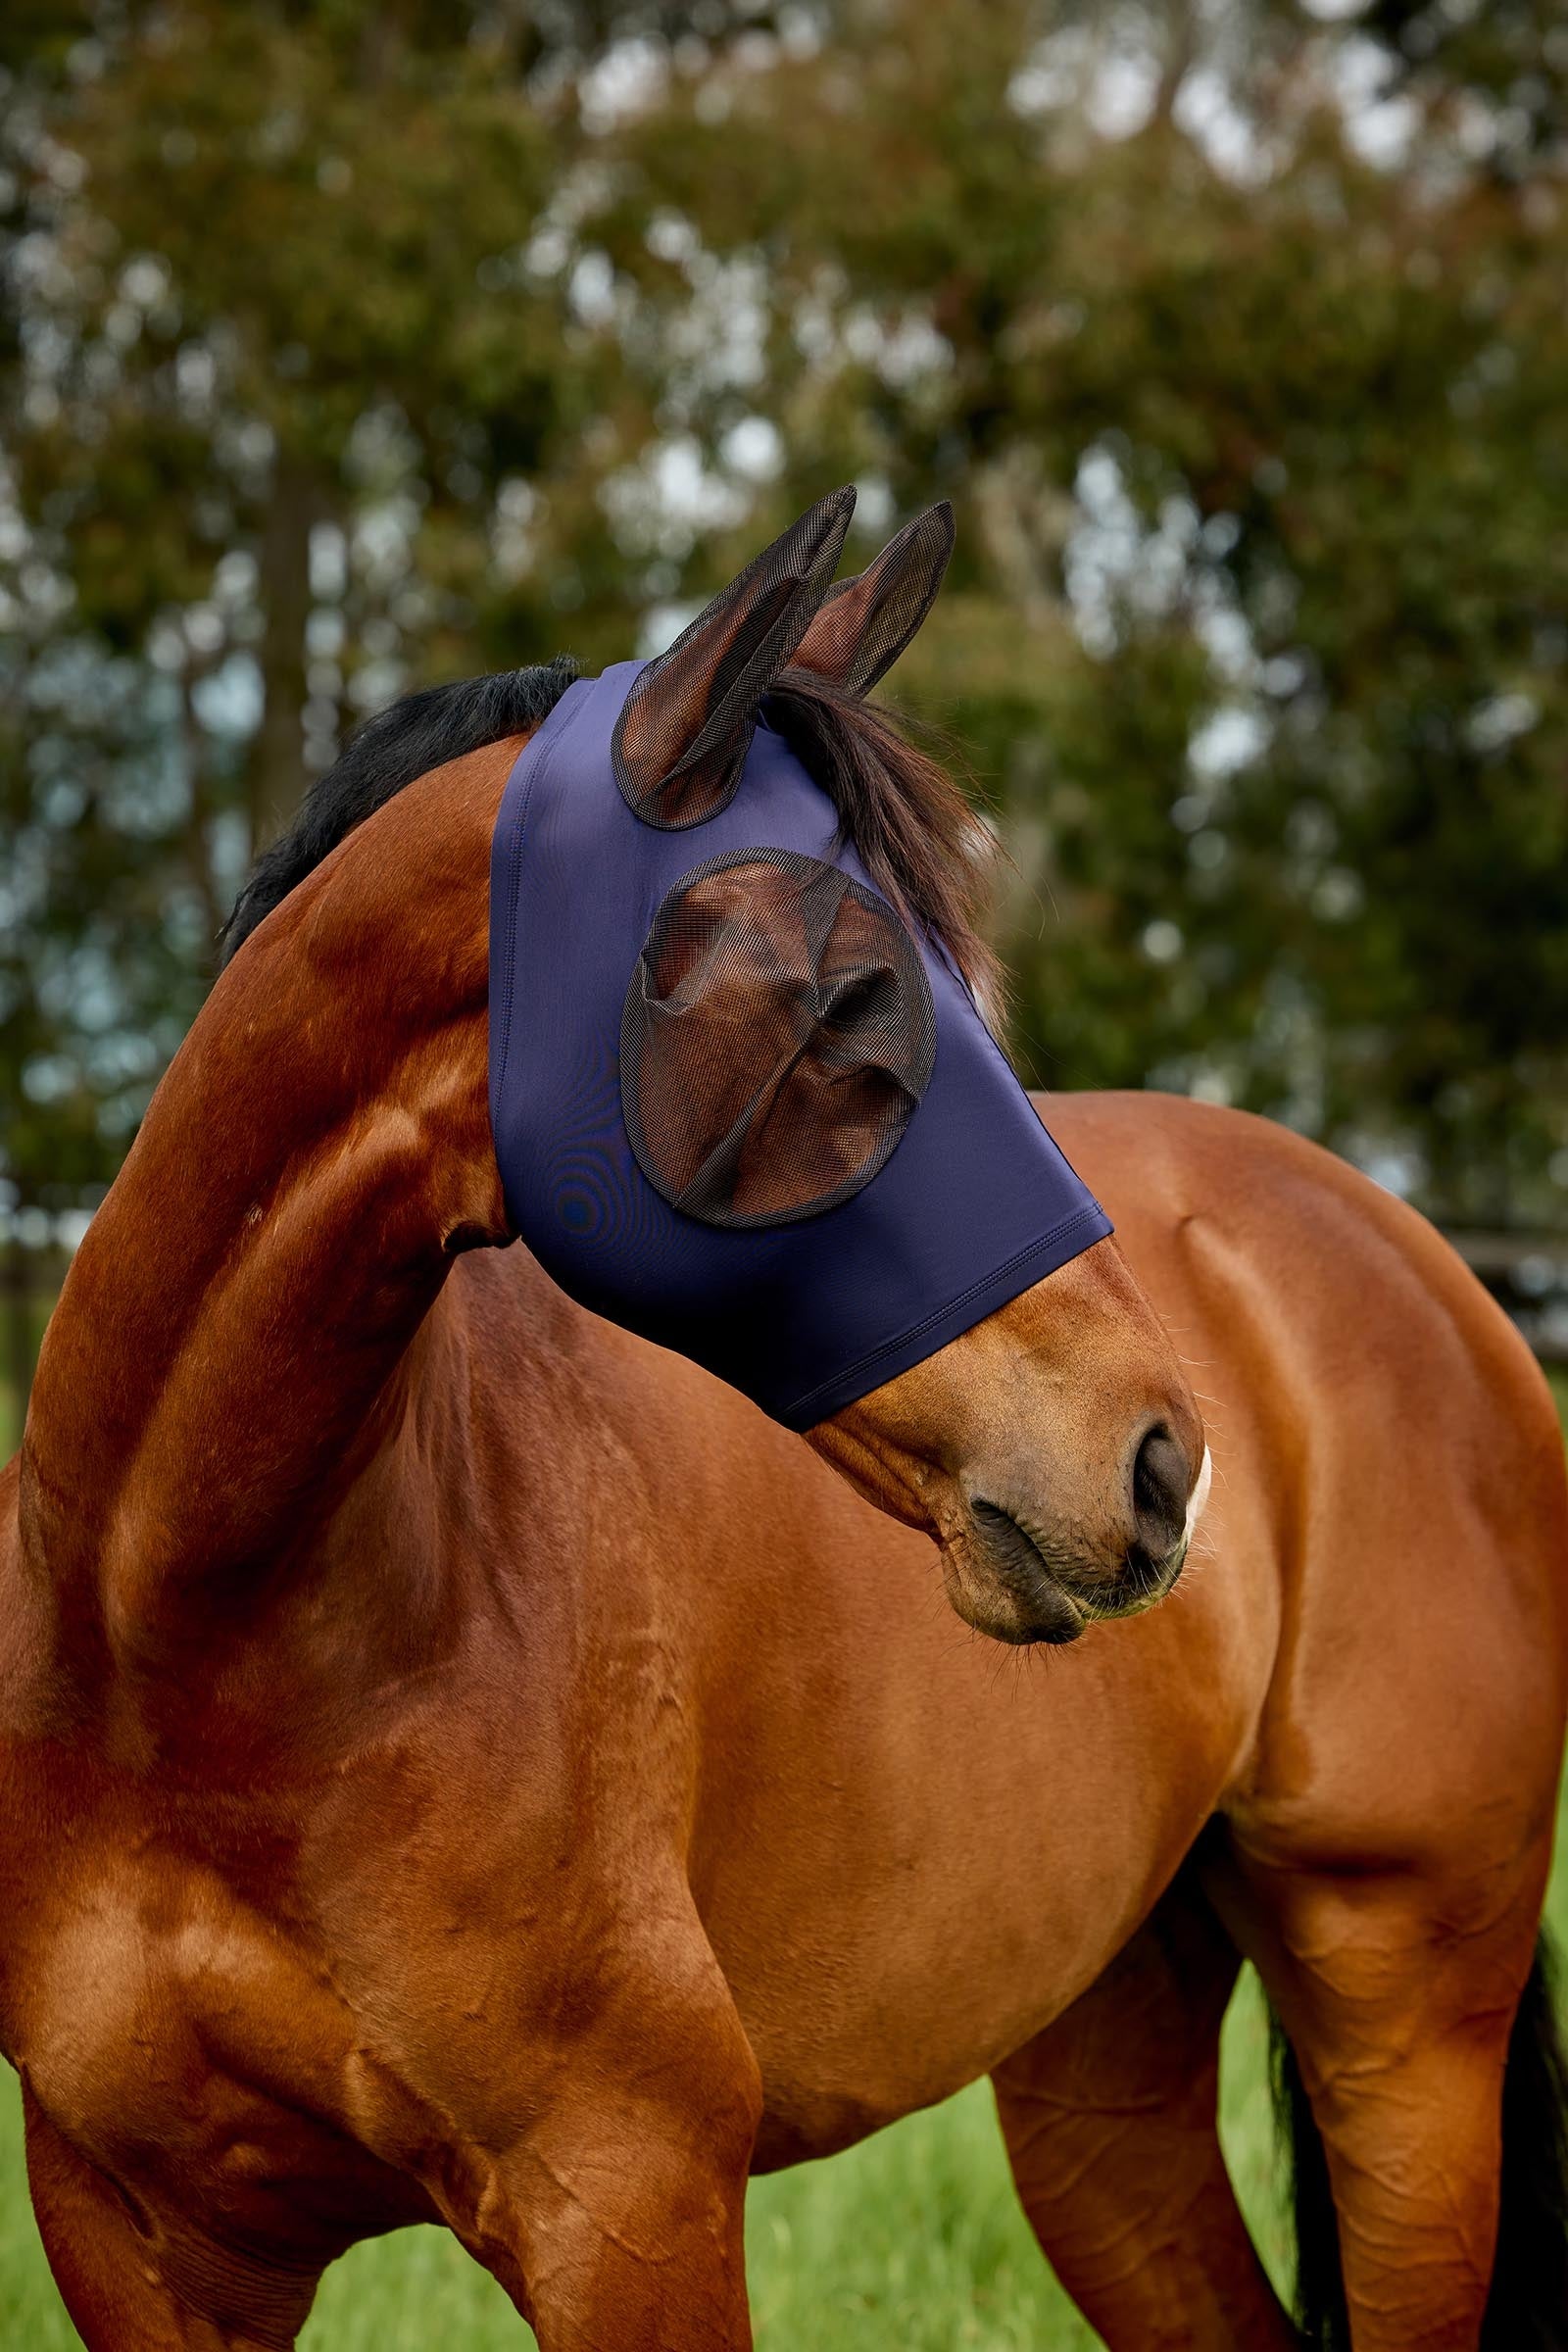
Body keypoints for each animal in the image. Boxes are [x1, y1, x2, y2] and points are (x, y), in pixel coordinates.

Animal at [1, 520, 1564, 2350]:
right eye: (845, 997)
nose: (1165, 1463)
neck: (191, 1658)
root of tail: (1424, 1267)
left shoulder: (631, 2199)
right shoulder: (137, 2240)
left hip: (1405, 2038)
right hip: (1106, 2084)